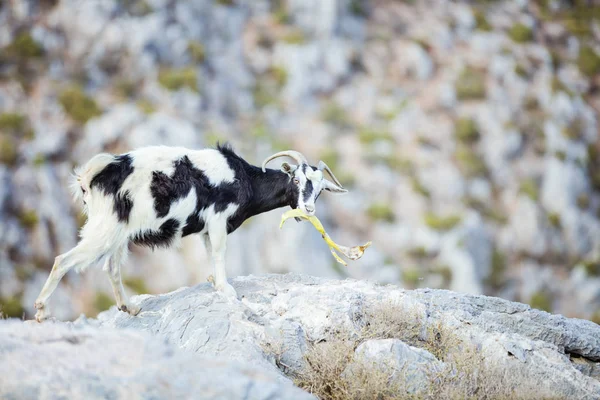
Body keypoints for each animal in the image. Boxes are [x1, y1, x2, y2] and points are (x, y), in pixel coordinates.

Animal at [34, 144, 346, 322]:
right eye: (296, 179)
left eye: (320, 189)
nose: (307, 209)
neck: (243, 177)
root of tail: (91, 176)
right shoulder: (219, 218)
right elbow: (219, 252)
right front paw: (226, 289)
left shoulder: (207, 229)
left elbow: (210, 253)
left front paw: (214, 282)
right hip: (105, 228)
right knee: (63, 260)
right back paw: (41, 311)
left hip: (118, 232)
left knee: (111, 267)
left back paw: (129, 308)